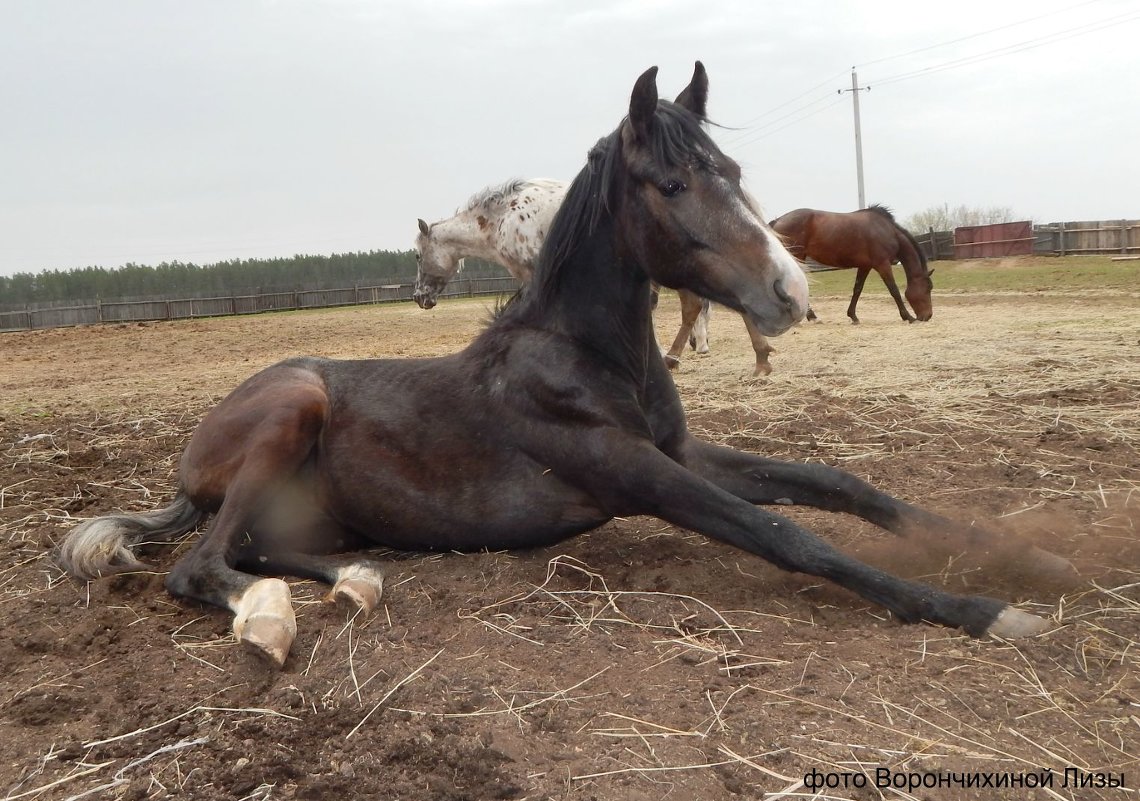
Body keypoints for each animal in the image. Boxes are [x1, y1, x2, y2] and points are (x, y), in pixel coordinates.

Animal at [766, 207, 934, 325]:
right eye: (928, 288)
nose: (928, 316)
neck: (887, 231)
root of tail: (778, 220)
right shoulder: (882, 264)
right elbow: (894, 290)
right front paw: (908, 316)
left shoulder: (865, 266)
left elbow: (857, 289)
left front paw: (853, 316)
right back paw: (811, 317)